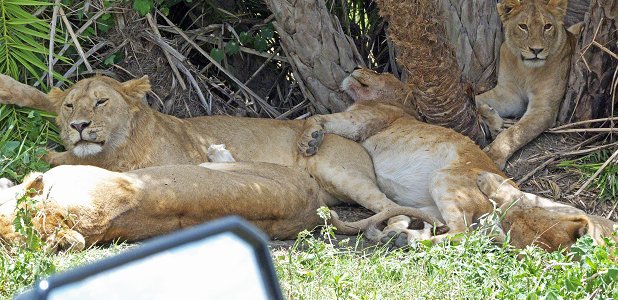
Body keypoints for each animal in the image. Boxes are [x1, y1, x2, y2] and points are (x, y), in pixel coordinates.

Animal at [296, 68, 612, 251]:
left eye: (378, 70)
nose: (355, 67)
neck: (400, 105)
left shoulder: (361, 121)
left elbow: (318, 118)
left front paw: (308, 139)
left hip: (446, 179)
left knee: (463, 234)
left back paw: (409, 240)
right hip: (431, 207)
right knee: (436, 224)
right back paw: (396, 235)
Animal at [476, 0, 584, 169]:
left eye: (547, 26)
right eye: (523, 26)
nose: (536, 50)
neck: (525, 69)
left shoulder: (543, 109)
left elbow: (516, 132)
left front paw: (493, 155)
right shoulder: (509, 95)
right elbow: (477, 98)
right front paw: (489, 116)